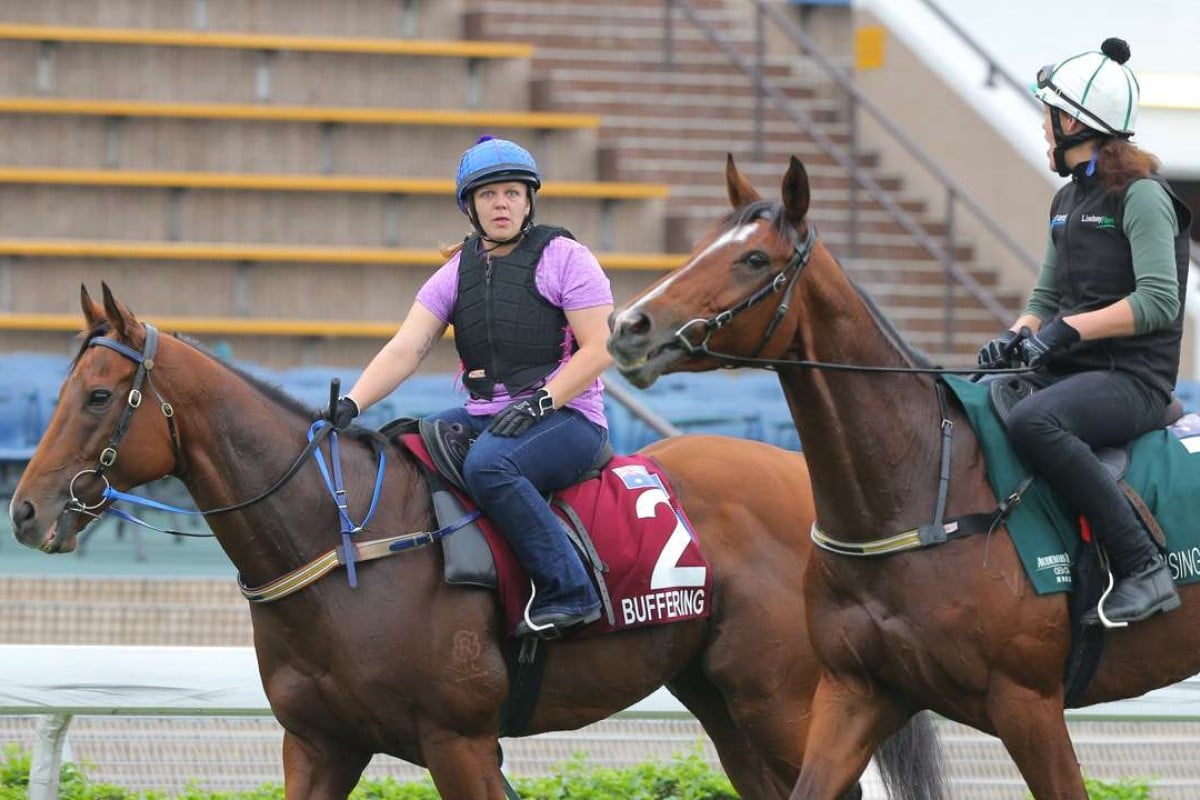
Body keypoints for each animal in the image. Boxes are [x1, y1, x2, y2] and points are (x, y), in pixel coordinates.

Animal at [4, 287, 936, 800]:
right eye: (65, 388)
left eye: (97, 396)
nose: (25, 511)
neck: (346, 547)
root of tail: (805, 482)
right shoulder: (318, 745)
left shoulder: (459, 744)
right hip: (727, 703)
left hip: (783, 700)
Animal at [604, 153, 1200, 796]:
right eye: (699, 245)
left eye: (755, 258)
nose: (628, 326)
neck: (923, 486)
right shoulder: (856, 692)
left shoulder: (1028, 703)